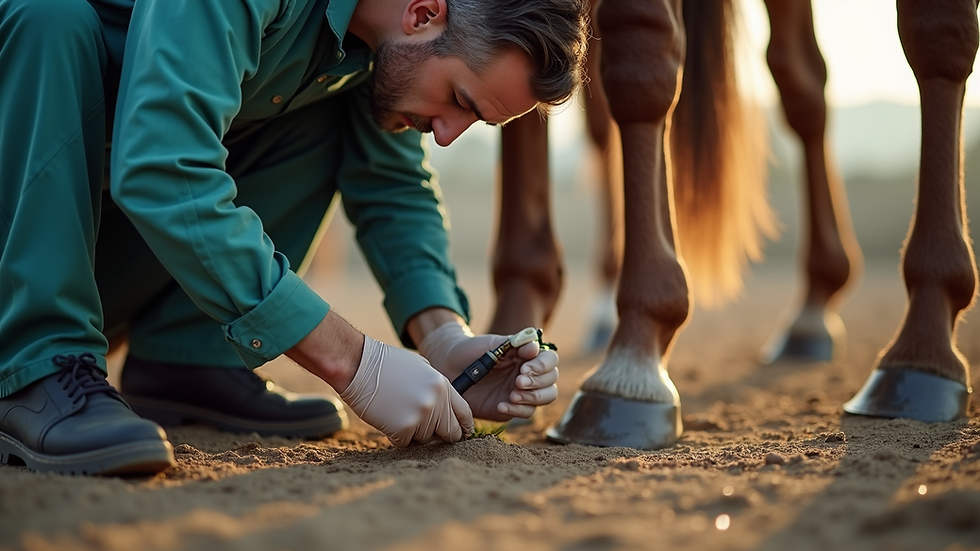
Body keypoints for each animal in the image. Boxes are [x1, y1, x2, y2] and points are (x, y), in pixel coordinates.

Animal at [488, 0, 978, 449]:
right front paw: (518, 306)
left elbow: (639, 58)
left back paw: (909, 343)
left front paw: (636, 353)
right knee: (802, 82)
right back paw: (814, 304)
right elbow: (525, 102)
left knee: (875, 59)